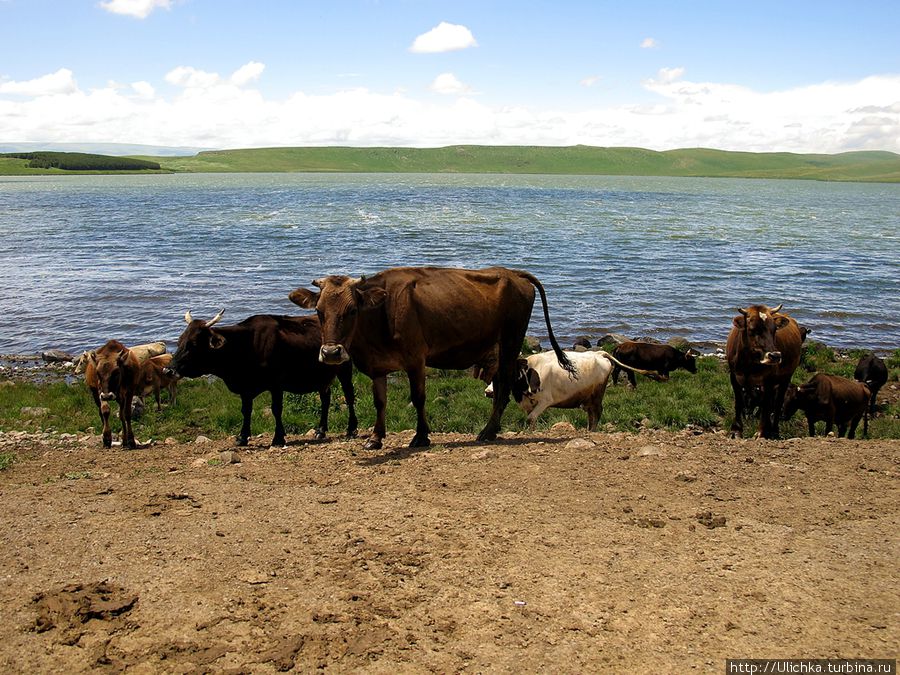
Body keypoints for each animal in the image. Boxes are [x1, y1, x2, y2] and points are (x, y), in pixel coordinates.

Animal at [167, 312, 356, 448]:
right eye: (179, 341)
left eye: (193, 344)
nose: (168, 370)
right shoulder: (245, 388)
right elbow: (246, 411)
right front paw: (242, 437)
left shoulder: (276, 384)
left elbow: (276, 410)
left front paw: (278, 438)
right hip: (323, 376)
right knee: (325, 399)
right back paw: (321, 430)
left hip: (345, 368)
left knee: (348, 395)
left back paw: (351, 429)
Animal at [288, 266, 572, 452]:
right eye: (319, 311)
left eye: (352, 310)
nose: (331, 353)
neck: (380, 313)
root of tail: (513, 273)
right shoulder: (377, 366)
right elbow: (380, 401)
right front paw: (376, 438)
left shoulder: (416, 359)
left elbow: (418, 397)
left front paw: (421, 437)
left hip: (511, 339)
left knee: (503, 384)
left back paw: (488, 431)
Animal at [486, 352, 660, 430]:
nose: (487, 392)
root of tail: (598, 353)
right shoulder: (529, 403)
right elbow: (531, 419)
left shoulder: (545, 401)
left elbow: (530, 418)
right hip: (588, 398)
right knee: (591, 414)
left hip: (597, 395)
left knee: (597, 412)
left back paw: (593, 431)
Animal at [724, 304, 800, 440]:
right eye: (753, 329)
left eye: (774, 330)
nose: (775, 356)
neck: (748, 363)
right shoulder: (734, 376)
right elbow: (738, 401)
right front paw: (736, 430)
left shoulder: (769, 380)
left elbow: (766, 405)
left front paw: (761, 432)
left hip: (786, 378)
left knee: (777, 403)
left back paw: (773, 430)